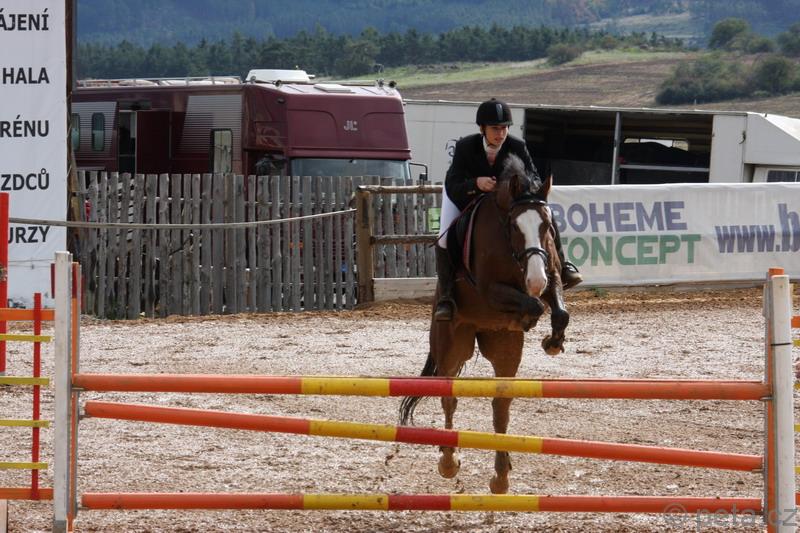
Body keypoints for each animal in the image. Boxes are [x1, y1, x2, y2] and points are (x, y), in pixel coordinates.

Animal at [399, 154, 569, 494]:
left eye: (546, 225)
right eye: (514, 226)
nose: (535, 280)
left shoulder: (552, 274)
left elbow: (558, 310)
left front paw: (553, 342)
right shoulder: (490, 289)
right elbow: (534, 304)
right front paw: (531, 317)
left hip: (505, 350)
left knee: (500, 406)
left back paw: (501, 477)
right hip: (453, 345)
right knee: (449, 397)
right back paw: (448, 462)